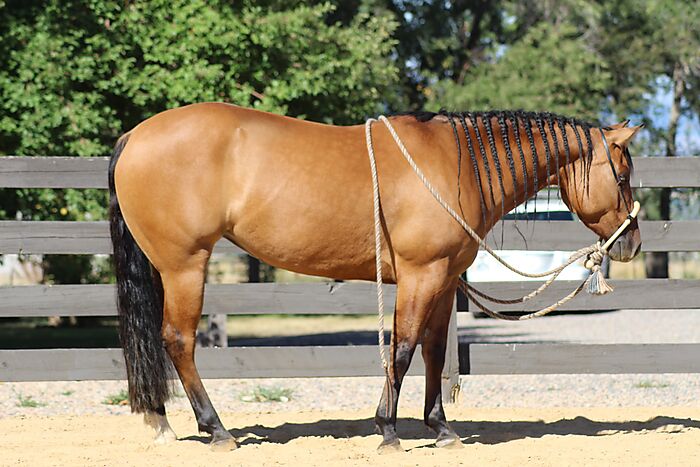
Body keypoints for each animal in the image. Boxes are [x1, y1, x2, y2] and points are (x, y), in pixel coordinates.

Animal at [108, 103, 642, 451]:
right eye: (622, 177)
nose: (631, 243)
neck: (459, 163)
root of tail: (135, 136)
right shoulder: (420, 275)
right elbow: (401, 349)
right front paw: (387, 429)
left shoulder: (443, 279)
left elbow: (433, 352)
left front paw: (441, 429)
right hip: (185, 266)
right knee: (178, 340)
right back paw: (217, 430)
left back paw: (163, 422)